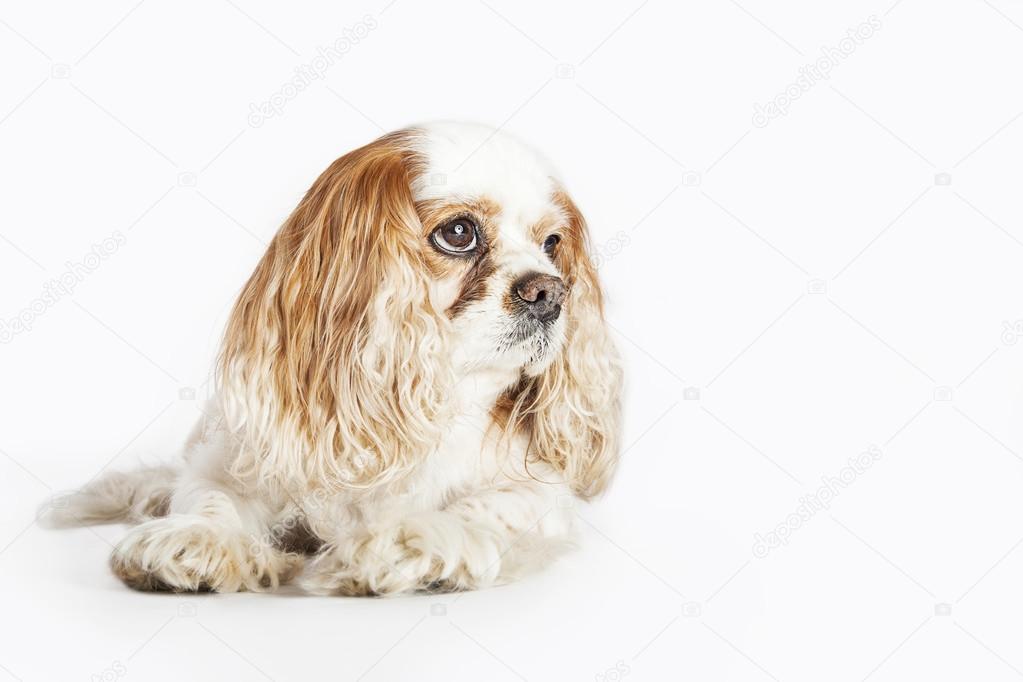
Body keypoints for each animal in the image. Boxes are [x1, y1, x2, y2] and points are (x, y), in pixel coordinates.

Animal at [46, 124, 621, 597]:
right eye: (459, 232)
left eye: (552, 243)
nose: (551, 292)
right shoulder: (237, 461)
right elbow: (212, 498)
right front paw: (199, 538)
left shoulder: (542, 495)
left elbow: (493, 506)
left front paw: (413, 539)